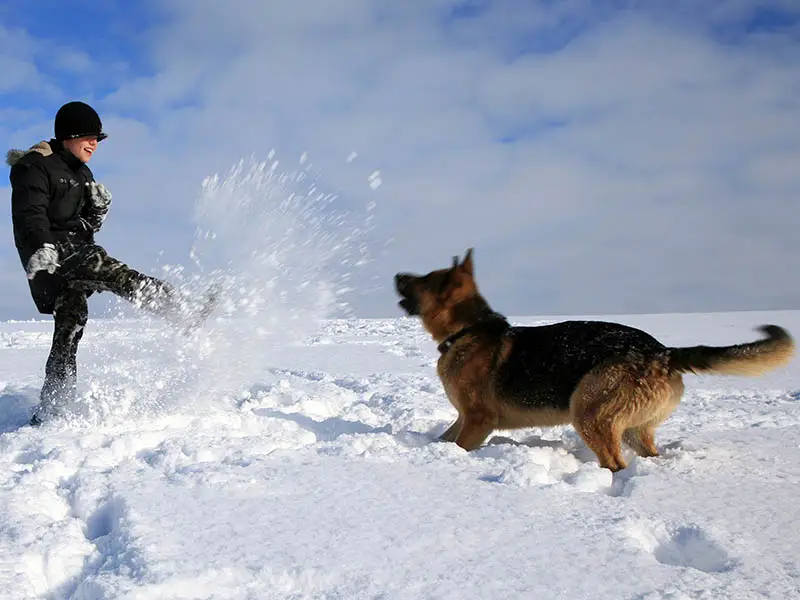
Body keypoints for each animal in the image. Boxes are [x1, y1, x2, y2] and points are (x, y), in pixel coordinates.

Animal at [394, 250, 792, 474]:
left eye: (425, 279)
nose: (397, 274)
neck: (468, 330)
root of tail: (663, 351)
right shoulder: (464, 418)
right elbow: (443, 438)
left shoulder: (478, 420)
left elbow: (459, 444)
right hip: (632, 428)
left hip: (587, 411)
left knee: (614, 464)